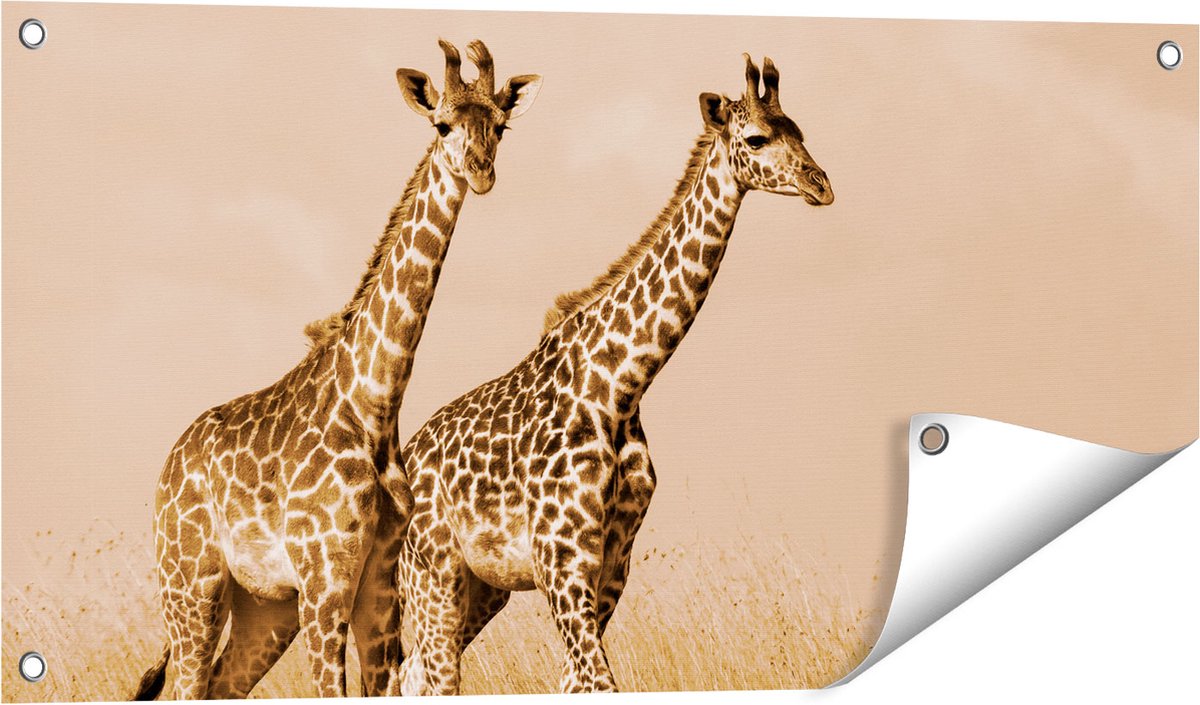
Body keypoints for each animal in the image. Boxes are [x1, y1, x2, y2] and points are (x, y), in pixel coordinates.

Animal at [129, 40, 542, 700]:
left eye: (500, 126)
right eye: (442, 124)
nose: (480, 172)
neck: (374, 401)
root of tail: (168, 468)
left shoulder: (377, 587)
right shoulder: (326, 583)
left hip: (264, 605)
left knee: (222, 683)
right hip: (191, 585)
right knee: (189, 681)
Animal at [393, 54, 833, 694]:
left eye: (799, 130)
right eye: (756, 138)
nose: (821, 185)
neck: (621, 384)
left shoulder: (613, 562)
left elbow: (577, 681)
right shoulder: (561, 559)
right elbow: (596, 679)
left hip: (485, 588)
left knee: (414, 673)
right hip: (434, 574)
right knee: (431, 674)